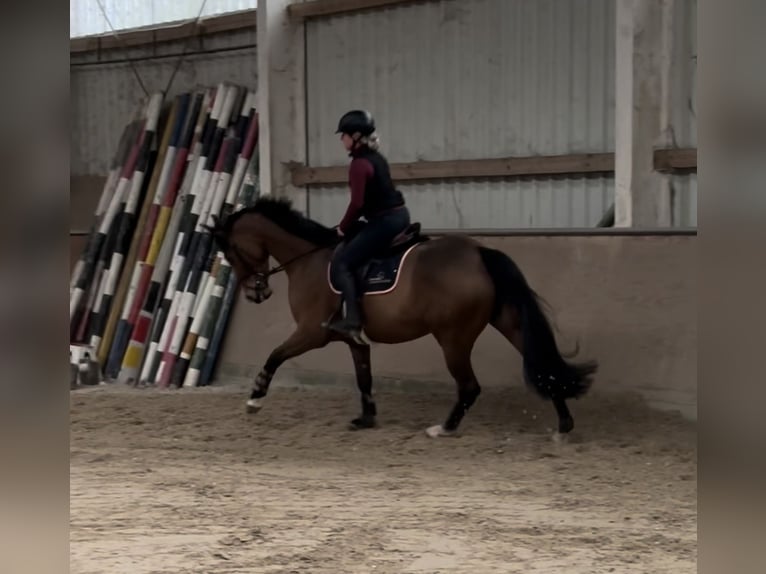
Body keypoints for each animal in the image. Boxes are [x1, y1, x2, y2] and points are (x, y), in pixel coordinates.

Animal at [208, 196, 600, 438]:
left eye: (230, 250)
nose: (256, 293)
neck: (310, 258)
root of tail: (478, 253)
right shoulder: (353, 340)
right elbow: (363, 378)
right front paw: (366, 418)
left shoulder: (310, 333)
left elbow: (274, 355)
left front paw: (255, 398)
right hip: (508, 323)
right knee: (544, 368)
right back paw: (563, 425)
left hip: (453, 338)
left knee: (469, 386)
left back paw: (444, 428)